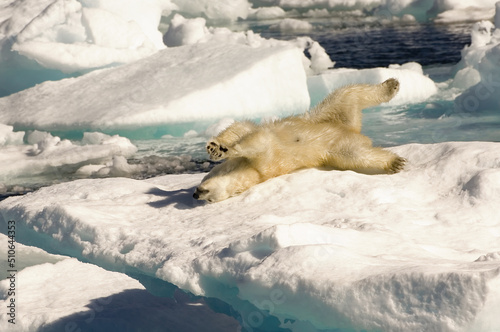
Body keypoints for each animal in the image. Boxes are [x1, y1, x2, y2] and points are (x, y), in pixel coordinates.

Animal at [193, 78, 404, 202]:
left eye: (207, 194)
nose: (195, 194)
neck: (252, 171)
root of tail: (355, 132)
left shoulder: (265, 160)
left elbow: (250, 134)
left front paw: (218, 148)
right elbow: (251, 134)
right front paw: (219, 147)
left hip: (323, 117)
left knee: (346, 94)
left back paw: (391, 84)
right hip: (336, 144)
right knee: (357, 153)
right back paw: (394, 162)